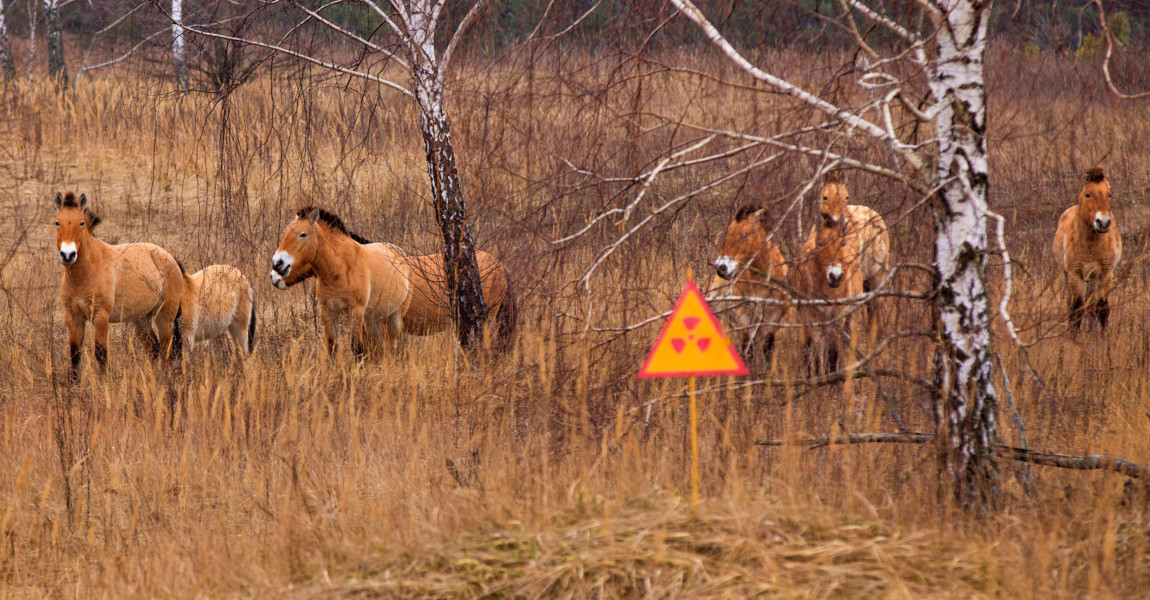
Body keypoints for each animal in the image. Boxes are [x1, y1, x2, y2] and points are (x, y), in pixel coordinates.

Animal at [54, 191, 184, 379]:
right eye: (57, 222)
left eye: (81, 222)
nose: (67, 255)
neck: (83, 275)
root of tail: (171, 258)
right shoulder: (73, 317)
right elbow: (75, 357)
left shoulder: (100, 317)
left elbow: (101, 355)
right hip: (141, 319)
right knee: (153, 349)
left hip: (165, 317)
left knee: (166, 351)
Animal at [708, 203, 791, 363]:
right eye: (728, 233)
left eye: (745, 235)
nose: (721, 268)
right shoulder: (744, 316)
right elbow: (748, 348)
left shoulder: (772, 317)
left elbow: (767, 349)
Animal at [795, 214, 860, 372]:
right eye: (820, 244)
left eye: (842, 243)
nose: (835, 276)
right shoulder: (811, 319)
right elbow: (814, 352)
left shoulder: (837, 319)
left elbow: (833, 352)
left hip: (851, 318)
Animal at [1053, 165, 1122, 328]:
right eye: (1087, 194)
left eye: (1109, 195)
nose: (1103, 222)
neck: (1092, 245)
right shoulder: (1075, 274)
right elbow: (1076, 311)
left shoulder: (1105, 273)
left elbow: (1102, 309)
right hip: (1071, 275)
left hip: (1093, 278)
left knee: (1091, 306)